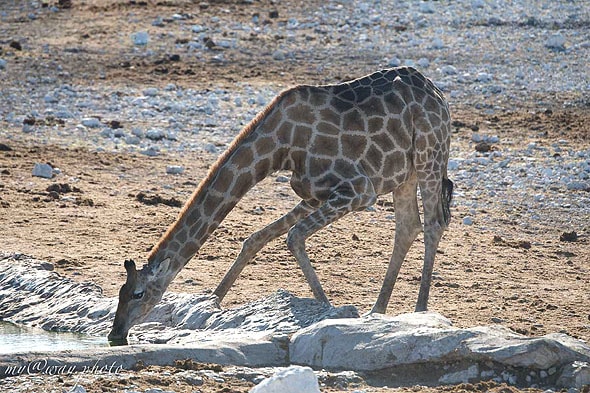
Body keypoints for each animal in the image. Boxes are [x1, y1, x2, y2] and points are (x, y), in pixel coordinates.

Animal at [108, 66, 456, 340]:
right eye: (119, 292)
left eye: (138, 293)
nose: (115, 333)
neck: (278, 147)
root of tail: (438, 93)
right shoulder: (313, 193)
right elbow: (256, 238)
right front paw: (212, 301)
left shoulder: (357, 190)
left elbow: (293, 236)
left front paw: (327, 309)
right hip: (404, 173)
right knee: (408, 226)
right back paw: (378, 310)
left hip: (429, 154)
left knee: (433, 223)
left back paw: (420, 311)